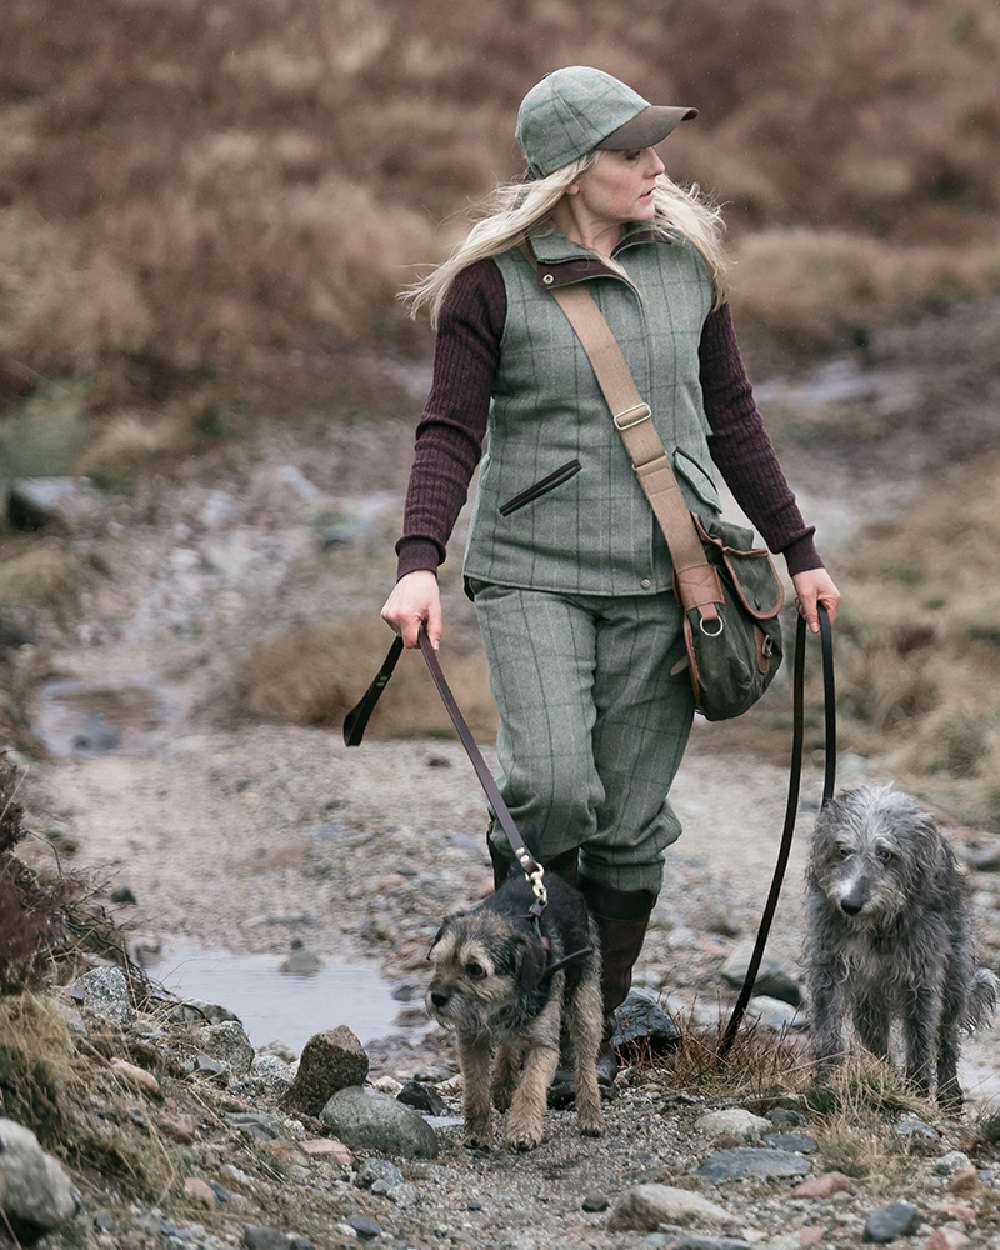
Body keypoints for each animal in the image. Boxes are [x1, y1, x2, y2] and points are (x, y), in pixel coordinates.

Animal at [425, 870, 602, 1150]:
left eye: (475, 969)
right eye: (438, 960)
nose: (437, 997)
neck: (499, 1003)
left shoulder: (543, 1045)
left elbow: (531, 1086)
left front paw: (524, 1130)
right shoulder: (471, 1040)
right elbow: (476, 1088)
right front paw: (478, 1133)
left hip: (585, 1003)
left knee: (585, 1060)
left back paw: (590, 1114)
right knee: (508, 1047)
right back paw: (502, 1087)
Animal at [805, 780, 1000, 1105]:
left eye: (885, 854)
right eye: (843, 850)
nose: (850, 904)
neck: (874, 925)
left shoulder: (920, 979)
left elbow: (920, 1036)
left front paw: (918, 1091)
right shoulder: (828, 966)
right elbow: (827, 1026)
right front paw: (824, 1081)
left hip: (955, 977)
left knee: (946, 1037)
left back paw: (948, 1094)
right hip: (869, 1005)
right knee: (878, 1042)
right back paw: (882, 1076)